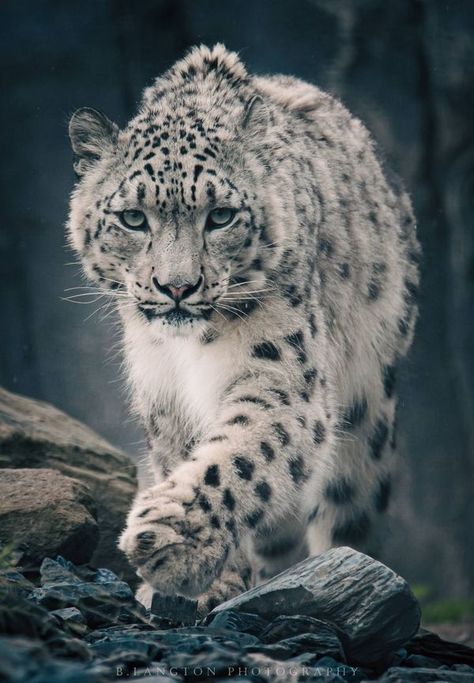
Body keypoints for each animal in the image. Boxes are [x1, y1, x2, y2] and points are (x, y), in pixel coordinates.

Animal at [65, 42, 418, 612]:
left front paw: (174, 542)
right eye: (133, 218)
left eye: (221, 216)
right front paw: (215, 582)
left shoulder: (280, 373)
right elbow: (194, 457)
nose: (177, 286)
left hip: (367, 405)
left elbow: (241, 453)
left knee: (349, 503)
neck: (187, 353)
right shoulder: (164, 397)